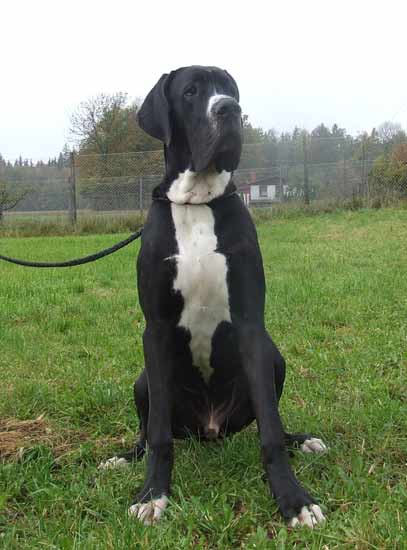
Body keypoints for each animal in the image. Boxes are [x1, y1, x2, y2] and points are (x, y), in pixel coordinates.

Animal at [99, 66, 327, 528]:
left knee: (271, 421)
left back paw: (303, 440)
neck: (197, 203)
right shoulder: (155, 329)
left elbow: (270, 429)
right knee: (148, 430)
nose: (229, 109)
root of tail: (210, 428)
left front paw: (294, 500)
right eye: (190, 92)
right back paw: (125, 457)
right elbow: (158, 434)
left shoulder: (252, 324)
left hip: (275, 359)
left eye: (231, 89)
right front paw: (153, 495)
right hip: (143, 380)